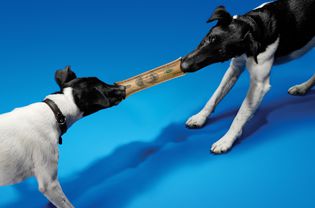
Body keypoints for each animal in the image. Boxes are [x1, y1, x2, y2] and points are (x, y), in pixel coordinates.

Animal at [180, 0, 315, 153]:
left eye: (222, 52)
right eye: (210, 37)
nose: (183, 66)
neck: (255, 25)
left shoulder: (259, 84)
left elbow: (240, 115)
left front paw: (226, 139)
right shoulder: (235, 67)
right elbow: (215, 96)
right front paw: (201, 117)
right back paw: (303, 87)